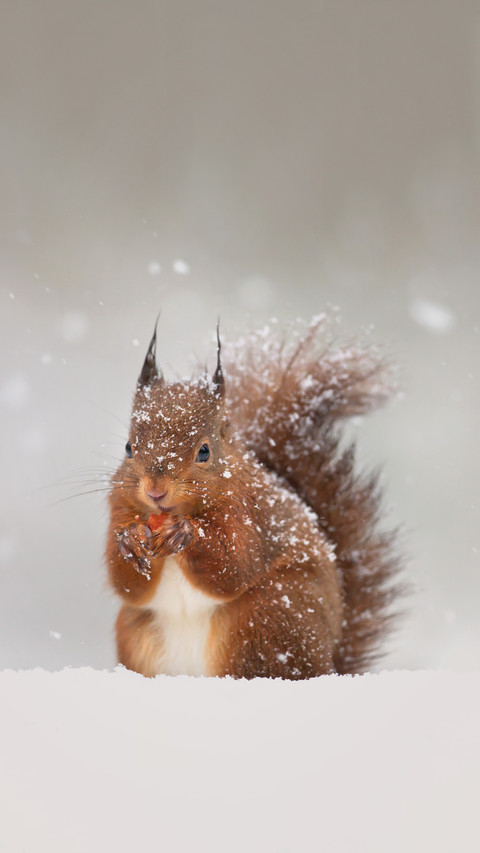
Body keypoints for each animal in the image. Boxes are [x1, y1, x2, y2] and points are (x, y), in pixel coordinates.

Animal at [106, 315, 403, 679]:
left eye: (204, 451)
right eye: (128, 447)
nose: (155, 490)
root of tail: (330, 663)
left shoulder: (249, 513)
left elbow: (233, 565)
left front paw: (186, 532)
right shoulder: (120, 506)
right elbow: (127, 584)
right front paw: (130, 540)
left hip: (263, 620)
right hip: (138, 635)